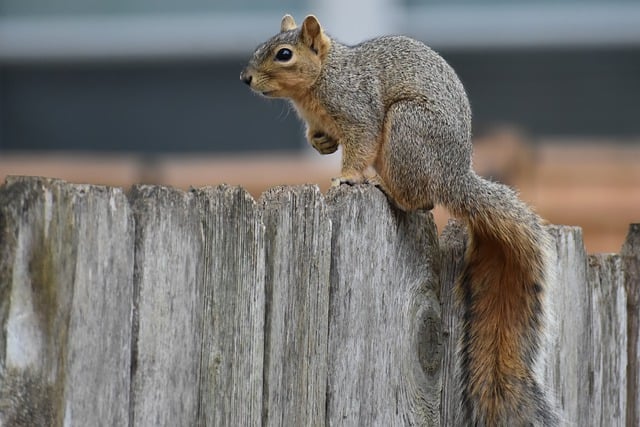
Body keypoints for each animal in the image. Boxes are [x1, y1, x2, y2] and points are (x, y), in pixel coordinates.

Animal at [240, 14, 556, 427]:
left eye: (283, 54)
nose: (245, 78)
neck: (322, 77)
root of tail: (454, 177)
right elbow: (322, 137)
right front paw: (321, 144)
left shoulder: (358, 109)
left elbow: (361, 142)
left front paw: (347, 177)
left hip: (407, 131)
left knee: (418, 198)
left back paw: (385, 188)